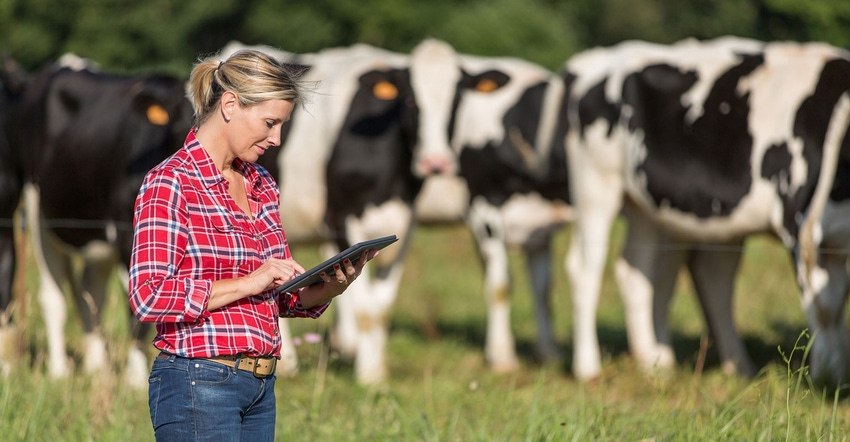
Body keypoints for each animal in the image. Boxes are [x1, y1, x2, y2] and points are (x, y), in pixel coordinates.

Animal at [7, 57, 192, 386]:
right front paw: (135, 378)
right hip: (38, 209)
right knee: (53, 296)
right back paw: (59, 370)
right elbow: (138, 312)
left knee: (90, 293)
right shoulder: (128, 235)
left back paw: (96, 366)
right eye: (184, 122)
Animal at [556, 36, 848, 386]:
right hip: (595, 186)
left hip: (648, 209)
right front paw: (826, 376)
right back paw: (589, 368)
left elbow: (836, 299)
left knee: (642, 274)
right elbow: (824, 304)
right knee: (585, 268)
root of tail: (597, 58)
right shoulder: (797, 222)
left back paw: (658, 366)